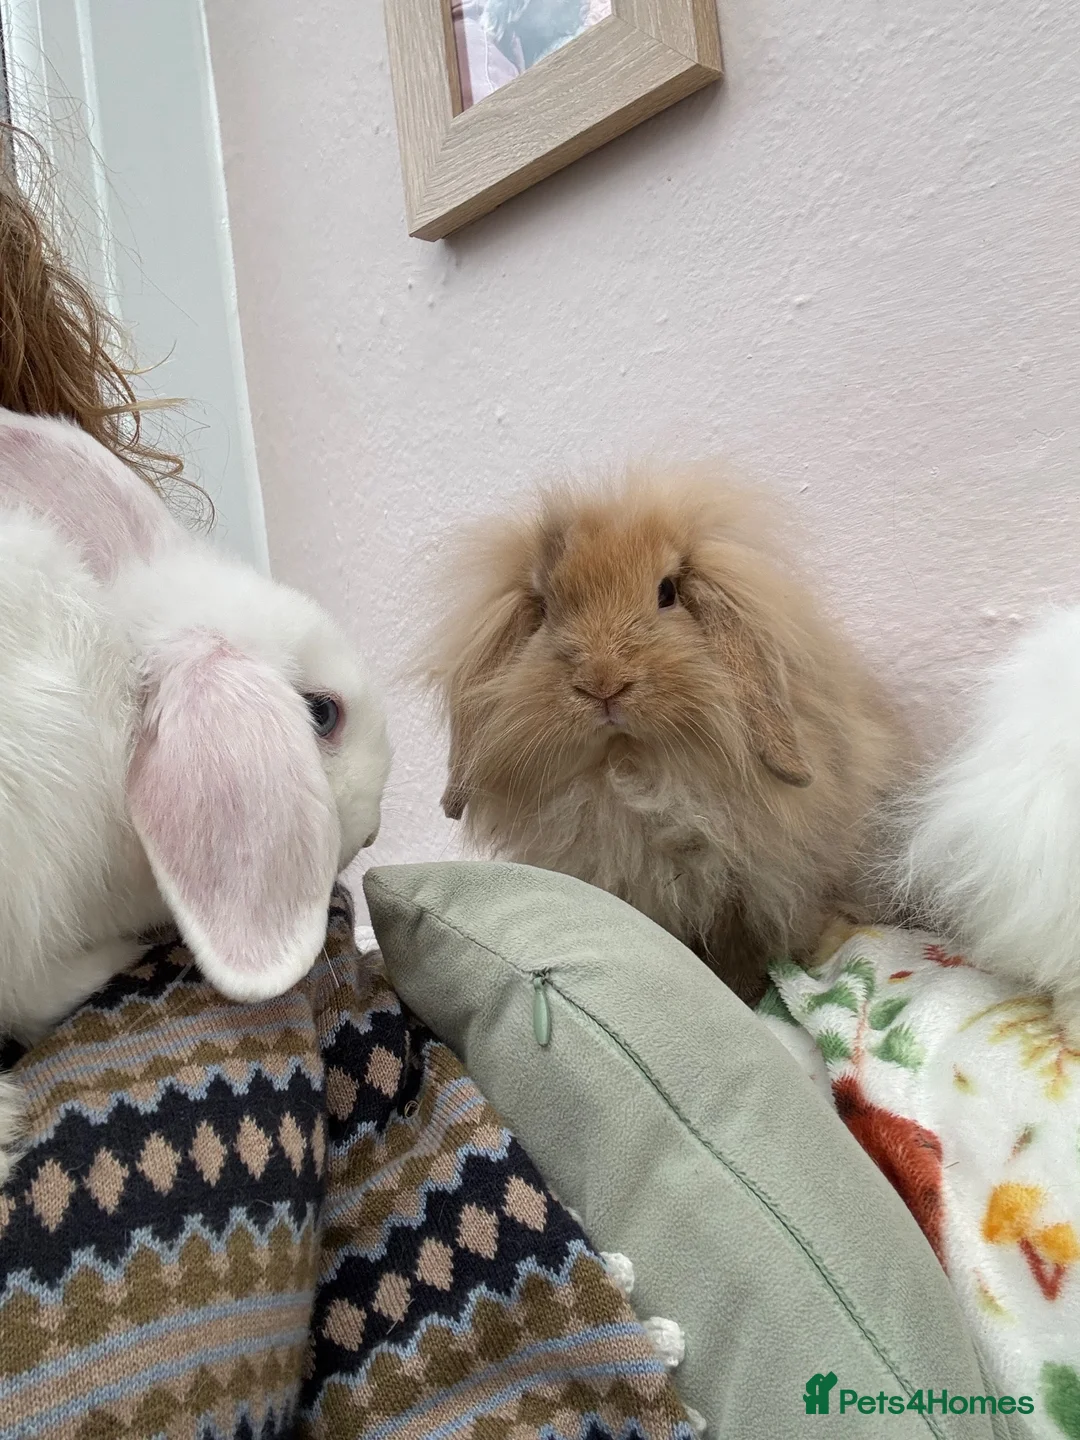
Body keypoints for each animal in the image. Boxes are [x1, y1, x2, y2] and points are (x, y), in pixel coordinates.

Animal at [425, 468, 904, 1001]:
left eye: (667, 592)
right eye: (546, 608)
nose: (603, 684)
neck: (634, 771)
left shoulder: (743, 893)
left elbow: (740, 956)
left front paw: (744, 997)